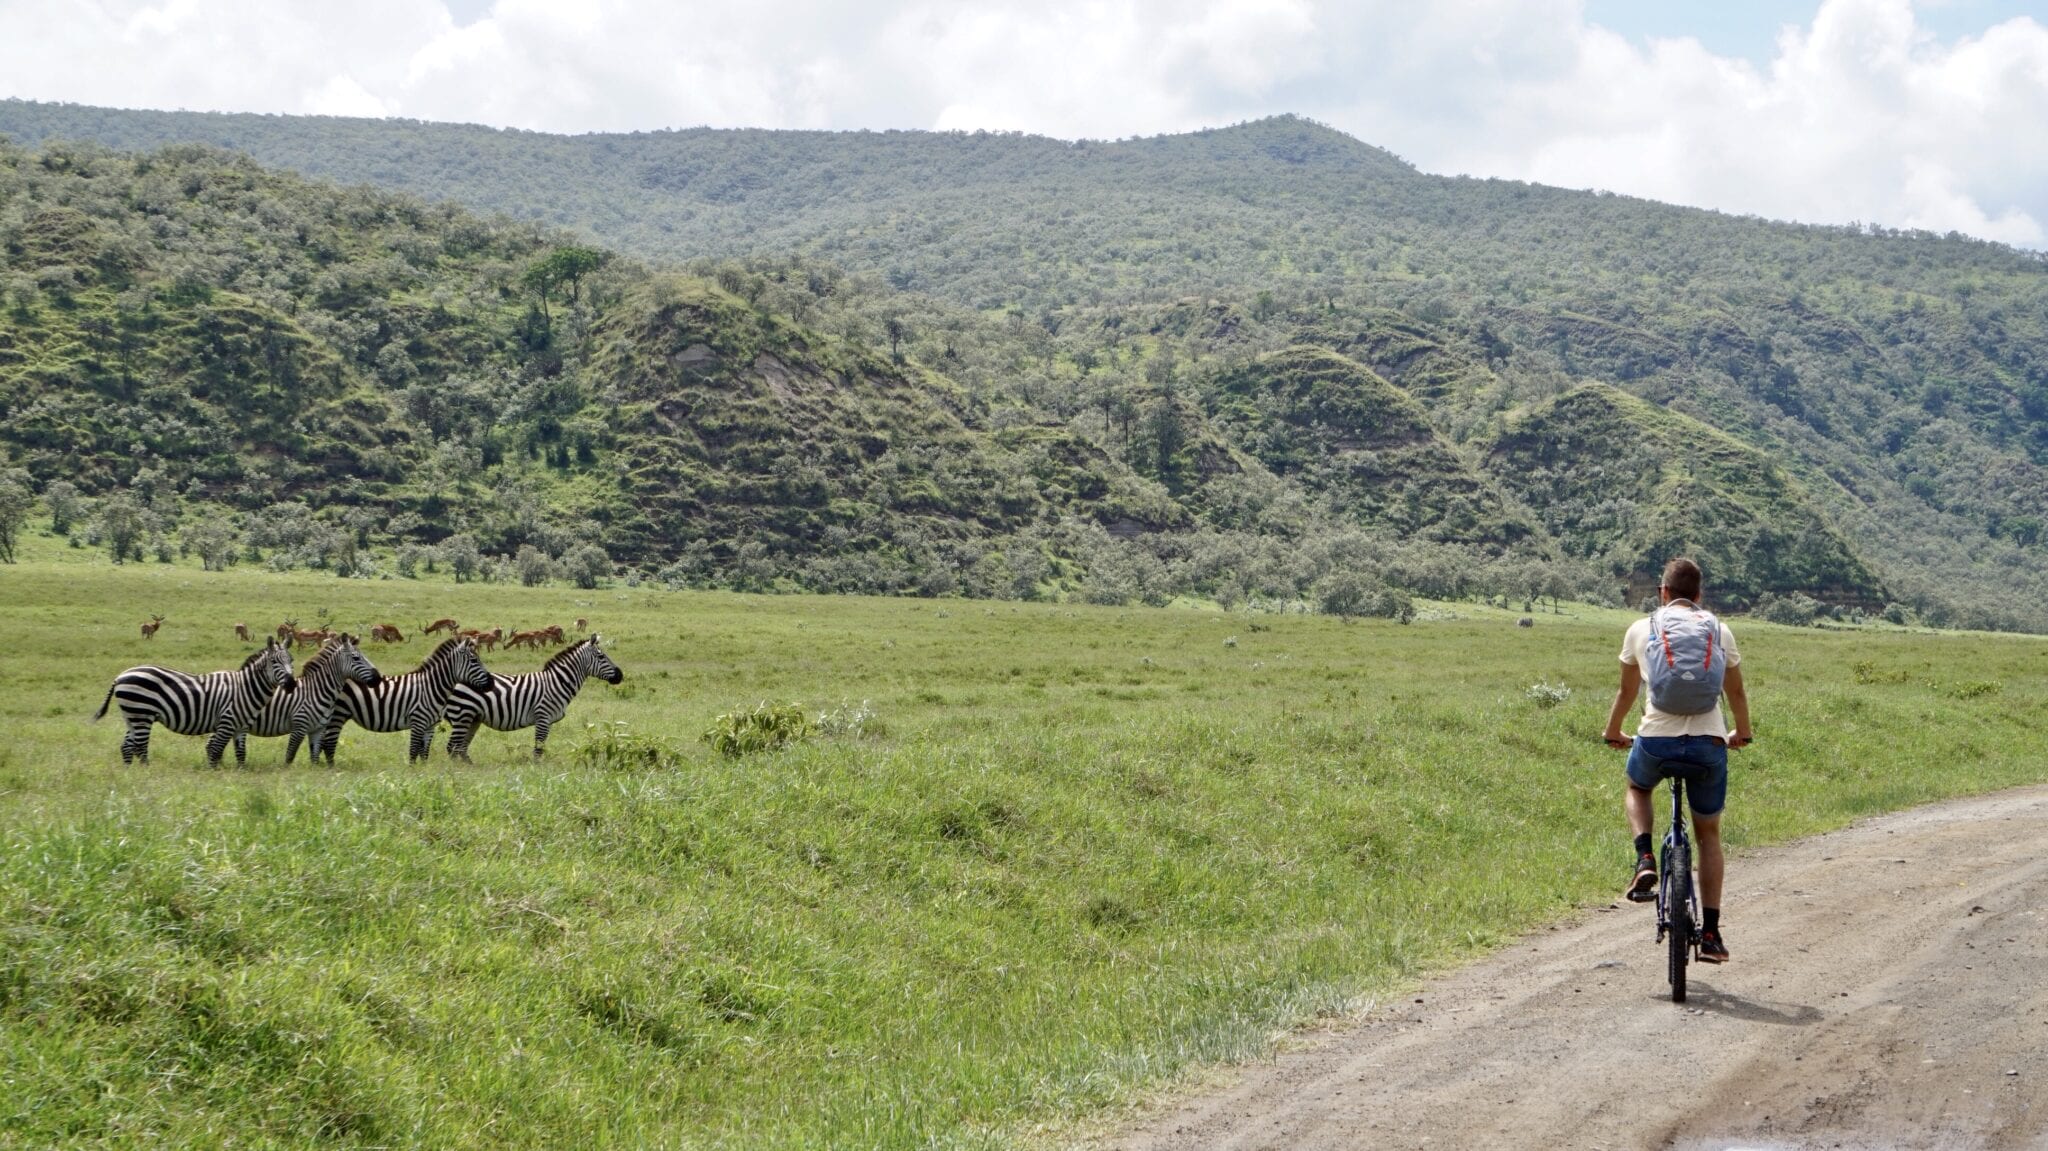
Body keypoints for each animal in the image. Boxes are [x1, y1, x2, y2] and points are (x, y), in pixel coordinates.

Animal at [94, 634, 296, 761]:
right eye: (274, 661)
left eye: (291, 660)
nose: (292, 684)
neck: (245, 688)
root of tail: (120, 676)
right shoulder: (226, 722)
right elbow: (215, 751)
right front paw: (214, 776)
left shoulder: (241, 727)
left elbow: (241, 754)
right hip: (142, 714)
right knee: (141, 748)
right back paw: (146, 774)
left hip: (132, 716)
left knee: (127, 747)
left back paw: (130, 774)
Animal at [239, 634, 385, 761]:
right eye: (356, 658)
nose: (378, 679)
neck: (315, 690)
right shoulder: (299, 727)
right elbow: (289, 756)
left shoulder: (318, 729)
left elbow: (314, 758)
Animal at [452, 630, 626, 757]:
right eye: (601, 656)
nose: (620, 675)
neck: (557, 682)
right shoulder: (543, 717)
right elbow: (538, 750)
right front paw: (538, 774)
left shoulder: (547, 720)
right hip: (462, 714)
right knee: (453, 747)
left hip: (473, 718)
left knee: (460, 747)